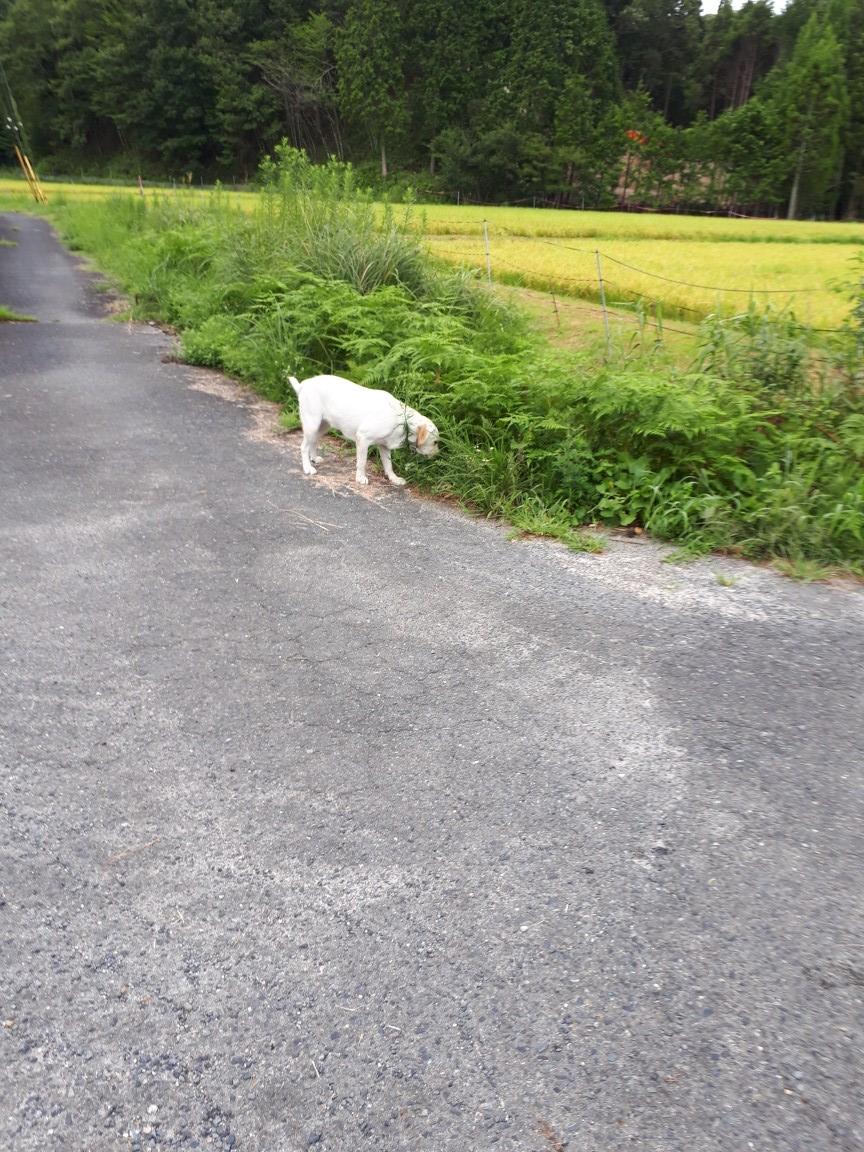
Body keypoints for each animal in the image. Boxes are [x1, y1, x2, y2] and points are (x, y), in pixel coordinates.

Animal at [288, 374, 439, 487]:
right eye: (435, 442)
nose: (437, 455)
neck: (403, 420)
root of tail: (303, 385)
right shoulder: (363, 439)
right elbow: (362, 462)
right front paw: (360, 477)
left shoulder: (384, 446)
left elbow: (388, 465)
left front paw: (394, 478)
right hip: (312, 425)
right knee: (303, 447)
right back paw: (308, 467)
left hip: (323, 426)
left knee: (313, 442)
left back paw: (314, 458)